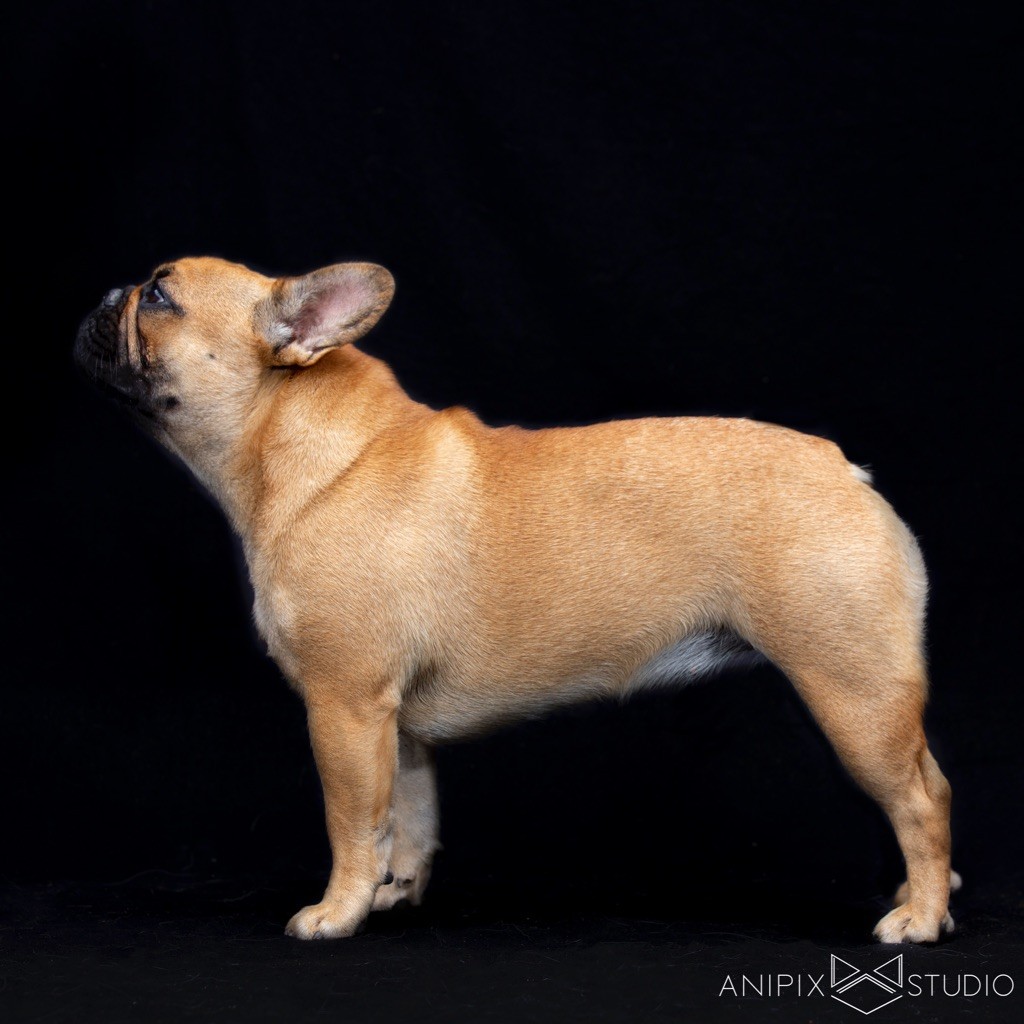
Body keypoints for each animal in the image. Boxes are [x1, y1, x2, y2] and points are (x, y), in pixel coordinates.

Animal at [75, 256, 959, 943]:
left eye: (160, 296)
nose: (110, 289)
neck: (288, 443)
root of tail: (845, 470)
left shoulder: (343, 704)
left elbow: (351, 820)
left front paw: (336, 912)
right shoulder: (392, 722)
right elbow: (409, 813)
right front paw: (394, 892)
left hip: (850, 688)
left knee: (920, 799)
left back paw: (917, 918)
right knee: (932, 783)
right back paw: (932, 899)